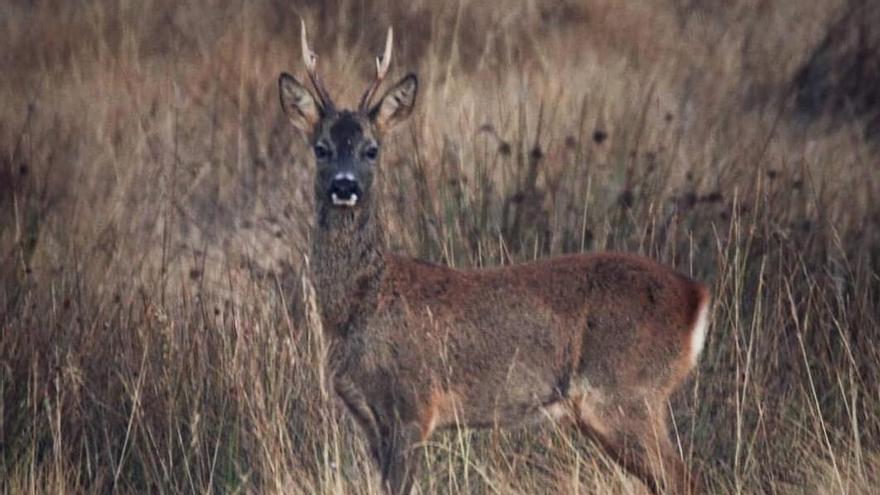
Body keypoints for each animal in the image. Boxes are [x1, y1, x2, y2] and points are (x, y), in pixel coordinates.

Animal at [278, 21, 712, 494]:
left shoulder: (413, 405)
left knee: (687, 477)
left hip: (626, 392)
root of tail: (697, 293)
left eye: (371, 149)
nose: (344, 186)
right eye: (320, 148)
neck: (360, 303)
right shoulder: (369, 418)